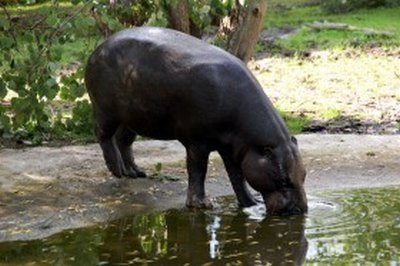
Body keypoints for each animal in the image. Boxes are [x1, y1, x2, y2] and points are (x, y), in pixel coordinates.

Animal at [86, 26, 308, 215]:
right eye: (282, 180)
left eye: (304, 174)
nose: (300, 210)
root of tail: (99, 48)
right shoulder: (198, 142)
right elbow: (198, 170)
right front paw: (201, 205)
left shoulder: (232, 148)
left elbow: (237, 175)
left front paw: (251, 203)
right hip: (106, 111)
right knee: (103, 135)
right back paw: (117, 170)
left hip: (133, 117)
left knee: (124, 140)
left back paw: (134, 172)